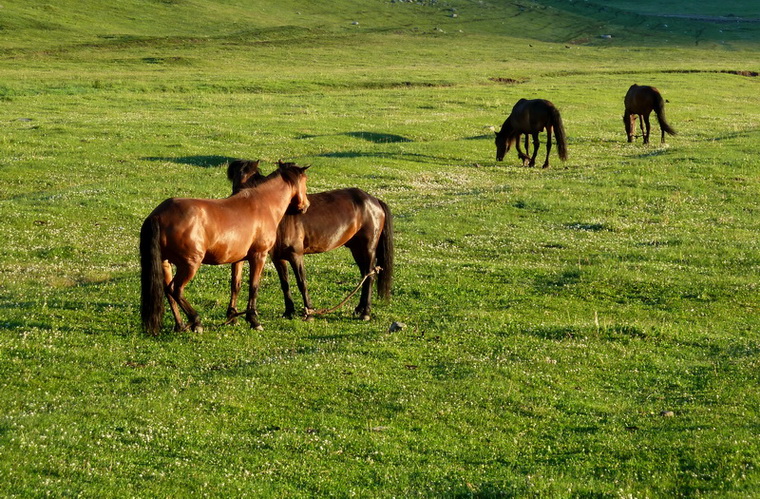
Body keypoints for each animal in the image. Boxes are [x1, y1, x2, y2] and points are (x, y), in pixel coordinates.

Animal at [140, 161, 308, 336]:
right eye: (305, 181)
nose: (305, 206)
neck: (263, 204)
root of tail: (158, 215)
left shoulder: (239, 259)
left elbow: (236, 285)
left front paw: (233, 318)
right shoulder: (259, 256)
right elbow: (253, 287)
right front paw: (253, 320)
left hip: (165, 263)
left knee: (168, 292)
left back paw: (180, 325)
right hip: (189, 264)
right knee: (176, 290)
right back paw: (196, 322)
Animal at [226, 161, 394, 324]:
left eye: (252, 180)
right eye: (234, 180)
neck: (281, 215)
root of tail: (374, 200)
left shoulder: (296, 255)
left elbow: (302, 282)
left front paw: (309, 314)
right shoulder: (278, 258)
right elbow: (285, 283)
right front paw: (289, 312)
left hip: (368, 248)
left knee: (370, 276)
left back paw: (366, 313)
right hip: (356, 249)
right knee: (364, 274)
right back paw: (359, 309)